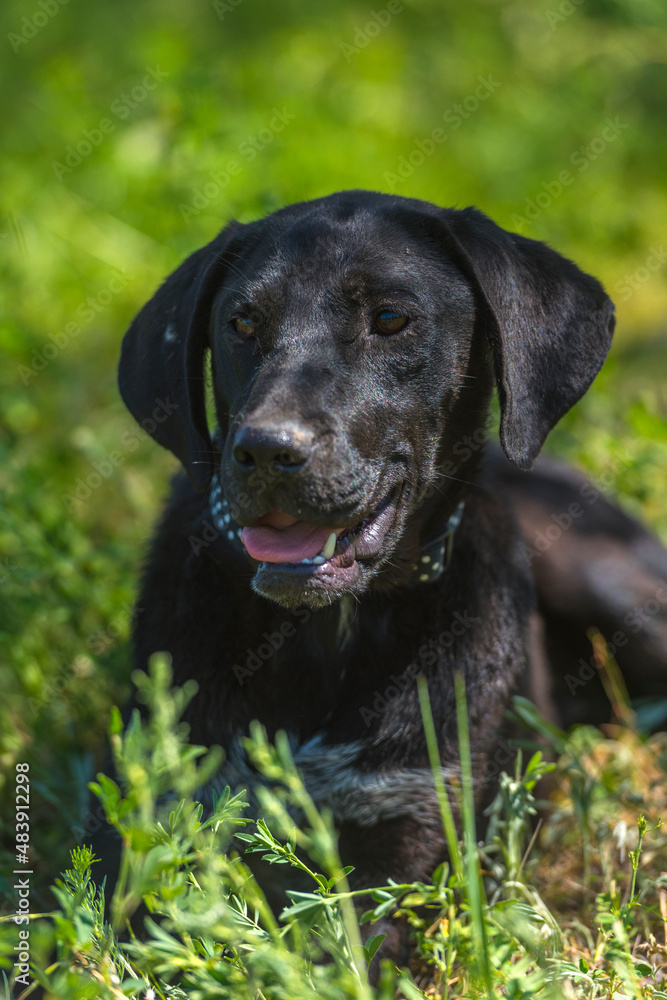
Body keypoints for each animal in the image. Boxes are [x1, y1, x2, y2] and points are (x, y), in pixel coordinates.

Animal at [116, 191, 667, 972]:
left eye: (389, 319)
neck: (329, 629)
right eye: (242, 323)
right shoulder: (160, 829)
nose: (266, 449)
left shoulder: (408, 840)